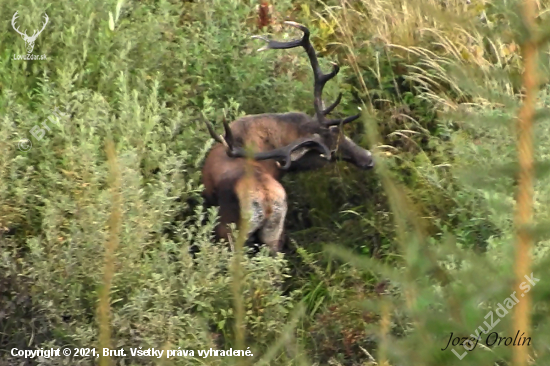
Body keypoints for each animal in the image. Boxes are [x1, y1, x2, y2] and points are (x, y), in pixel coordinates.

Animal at [203, 20, 376, 254]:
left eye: (341, 133)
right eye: (328, 151)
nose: (368, 158)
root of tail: (266, 200)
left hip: (229, 232)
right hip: (273, 234)